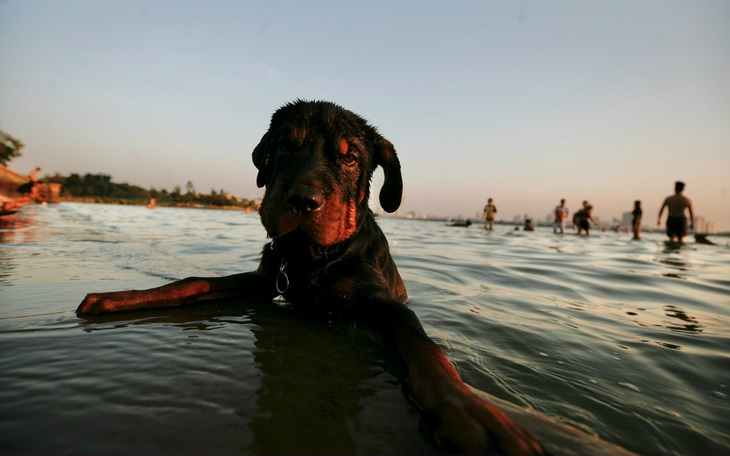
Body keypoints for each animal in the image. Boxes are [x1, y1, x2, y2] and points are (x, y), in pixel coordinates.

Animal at [78, 100, 544, 456]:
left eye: (351, 158)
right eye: (285, 145)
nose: (303, 199)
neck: (311, 258)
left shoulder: (381, 302)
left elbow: (425, 348)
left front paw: (473, 416)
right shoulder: (265, 279)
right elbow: (194, 281)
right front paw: (120, 298)